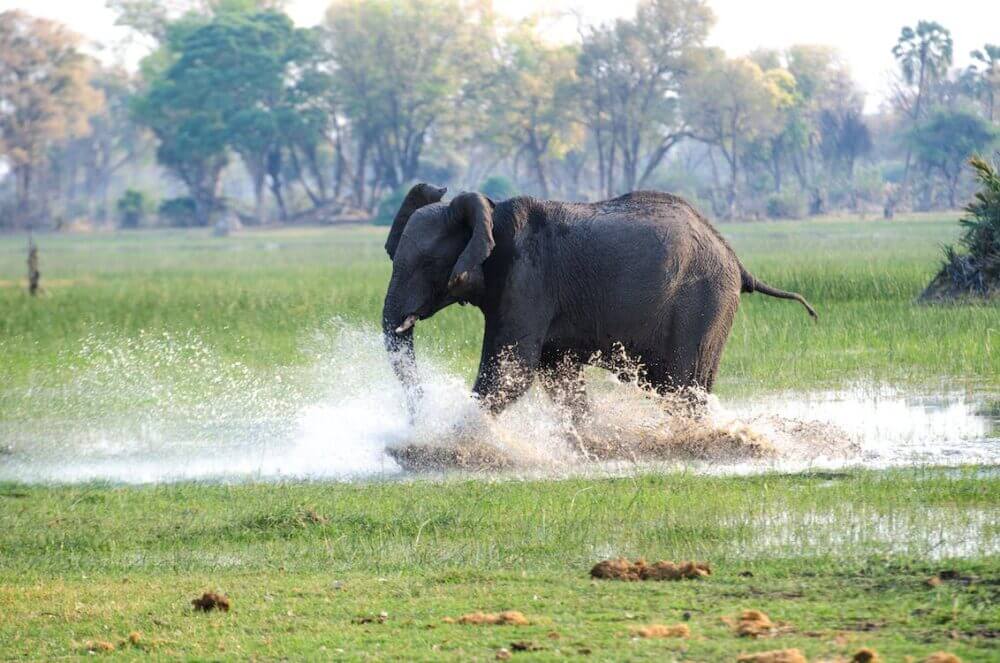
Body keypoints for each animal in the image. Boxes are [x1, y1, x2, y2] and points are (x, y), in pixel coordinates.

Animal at [380, 182, 812, 420]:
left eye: (428, 263)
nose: (419, 418)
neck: (492, 211)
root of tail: (737, 261)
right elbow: (557, 377)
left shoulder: (527, 278)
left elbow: (510, 372)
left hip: (703, 302)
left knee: (681, 386)